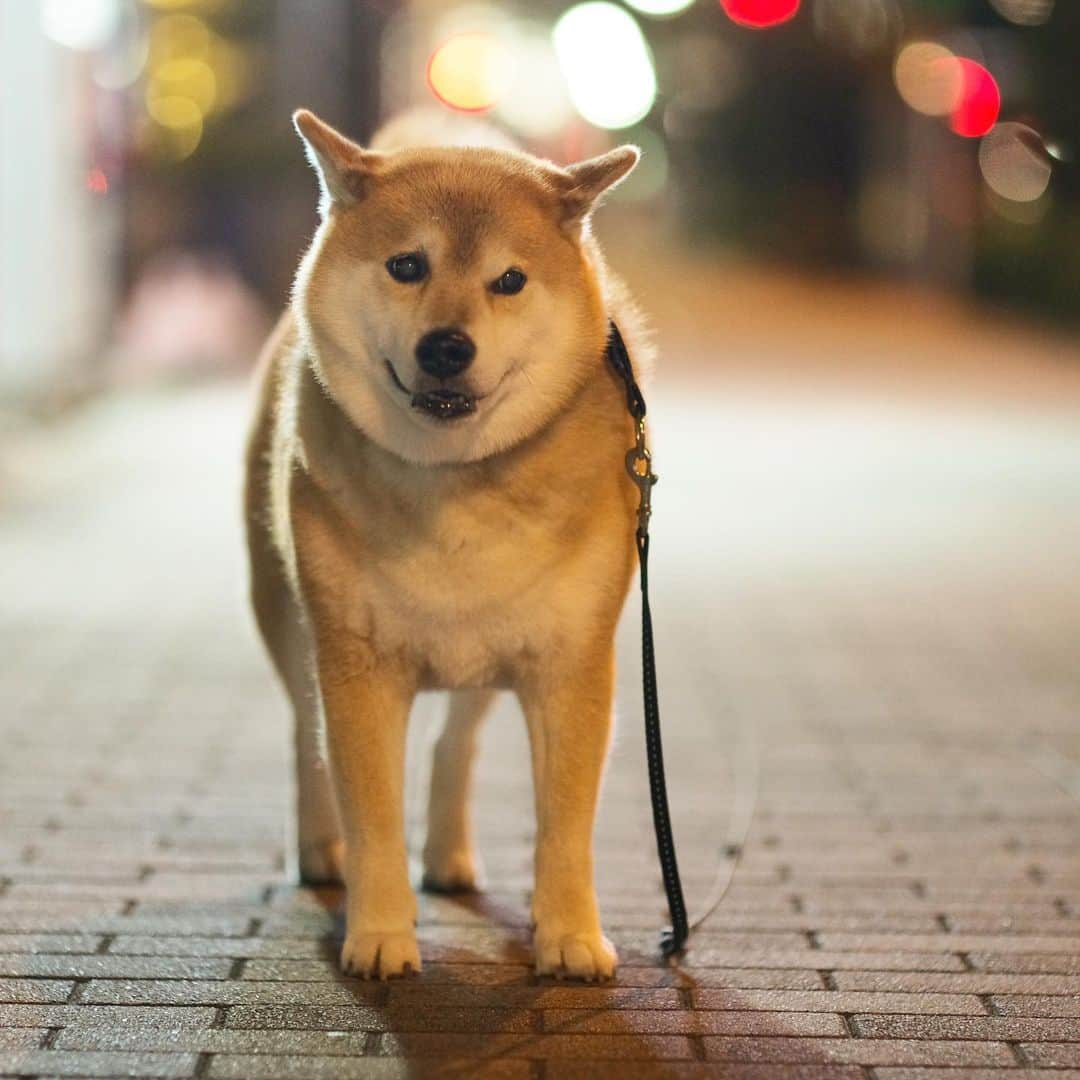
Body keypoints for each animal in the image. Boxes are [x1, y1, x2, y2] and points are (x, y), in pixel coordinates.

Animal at [245, 107, 648, 980]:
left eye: (510, 281)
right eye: (407, 264)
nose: (446, 346)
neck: (456, 486)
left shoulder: (572, 663)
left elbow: (565, 824)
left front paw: (570, 934)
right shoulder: (354, 665)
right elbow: (372, 816)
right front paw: (381, 933)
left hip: (492, 656)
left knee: (453, 746)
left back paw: (452, 856)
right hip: (288, 621)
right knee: (304, 738)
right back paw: (319, 848)